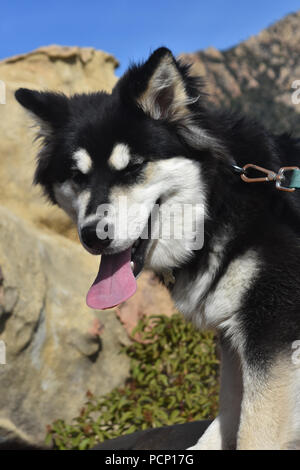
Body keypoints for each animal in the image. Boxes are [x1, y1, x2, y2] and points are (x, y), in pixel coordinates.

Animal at [15, 46, 300, 448]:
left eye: (133, 167)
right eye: (76, 176)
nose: (93, 235)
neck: (219, 207)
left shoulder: (271, 324)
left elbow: (256, 430)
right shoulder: (233, 332)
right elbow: (230, 411)